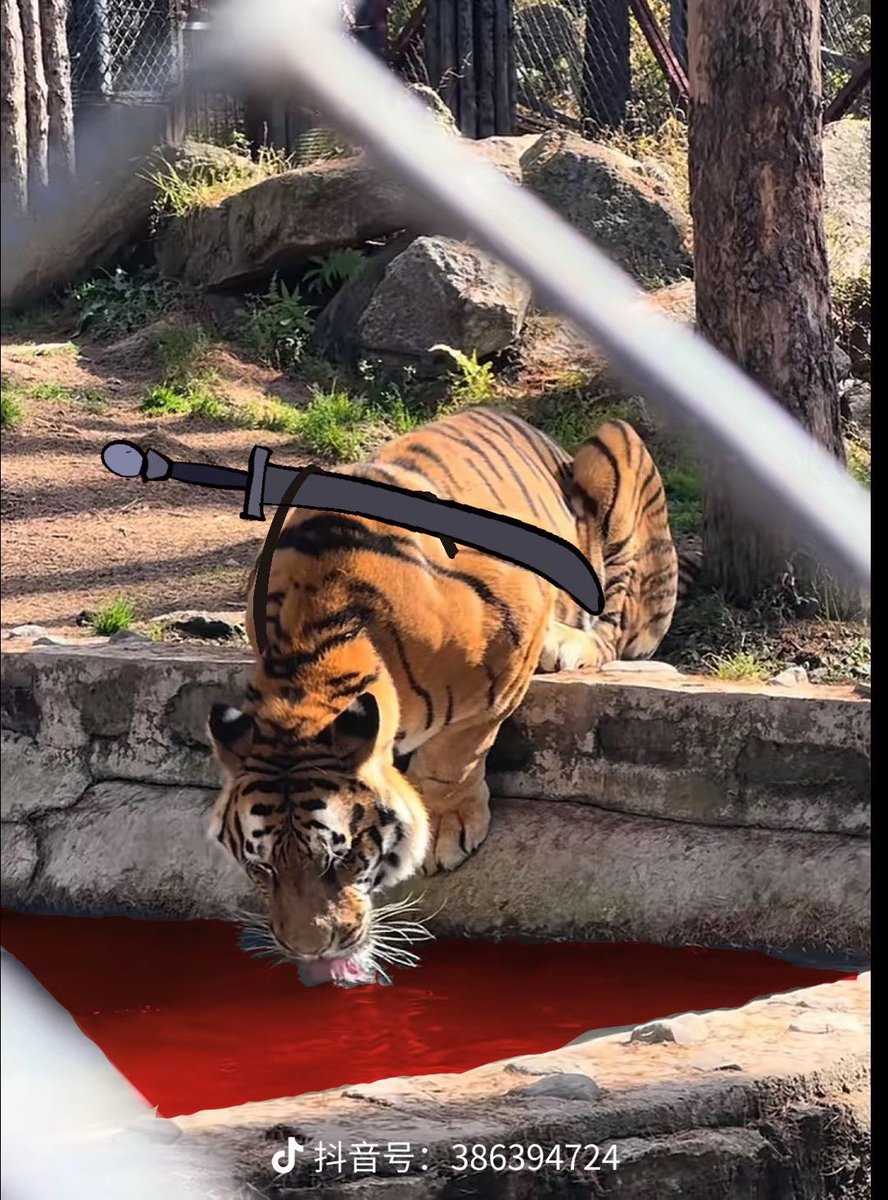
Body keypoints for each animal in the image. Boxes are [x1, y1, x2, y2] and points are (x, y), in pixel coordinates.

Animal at [208, 407, 680, 976]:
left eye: (340, 858)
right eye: (261, 867)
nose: (308, 949)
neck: (309, 660)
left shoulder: (507, 652)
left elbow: (458, 751)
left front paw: (445, 829)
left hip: (617, 451)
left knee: (614, 628)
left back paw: (566, 644)